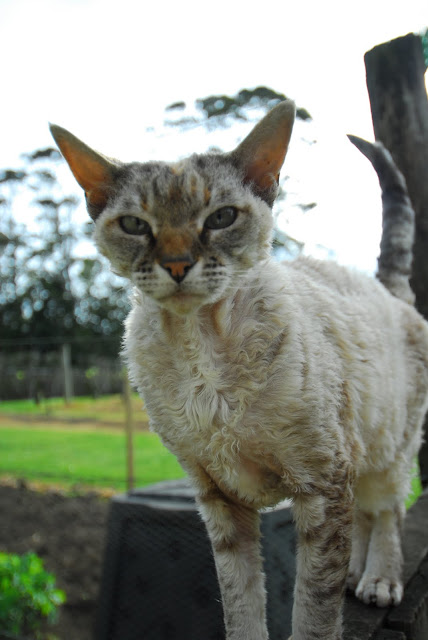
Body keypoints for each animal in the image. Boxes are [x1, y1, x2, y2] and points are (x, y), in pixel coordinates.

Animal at [49, 102, 428, 640]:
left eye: (222, 217)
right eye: (135, 225)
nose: (177, 264)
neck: (200, 350)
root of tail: (383, 287)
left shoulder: (322, 480)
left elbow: (313, 611)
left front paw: (333, 603)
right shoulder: (219, 498)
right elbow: (241, 603)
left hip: (389, 448)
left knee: (388, 511)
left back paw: (378, 581)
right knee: (365, 519)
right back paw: (356, 575)